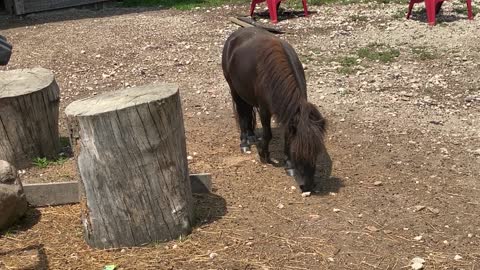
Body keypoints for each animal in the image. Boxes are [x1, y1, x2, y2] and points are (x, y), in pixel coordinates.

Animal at [221, 27, 326, 192]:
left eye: (316, 151)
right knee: (242, 114)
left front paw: (289, 165)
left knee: (247, 111)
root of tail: (234, 36)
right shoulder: (264, 109)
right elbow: (268, 134)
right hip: (234, 90)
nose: (307, 185)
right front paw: (263, 154)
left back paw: (251, 136)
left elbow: (287, 136)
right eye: (298, 151)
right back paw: (244, 142)